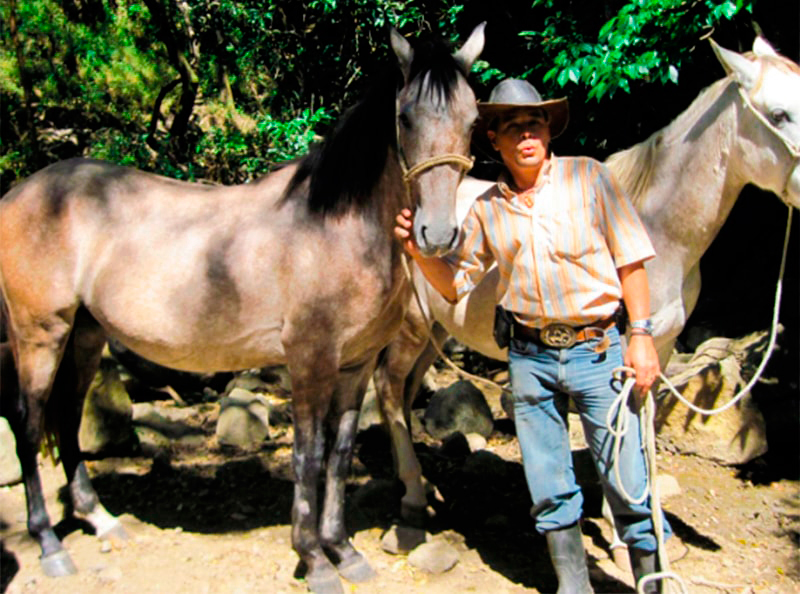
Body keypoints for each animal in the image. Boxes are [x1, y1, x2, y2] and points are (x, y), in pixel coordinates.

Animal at [0, 24, 488, 592]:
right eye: (405, 117)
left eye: (472, 119)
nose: (438, 234)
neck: (336, 228)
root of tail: (21, 193)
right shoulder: (309, 358)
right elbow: (308, 455)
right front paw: (314, 559)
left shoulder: (356, 364)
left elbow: (341, 455)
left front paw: (343, 551)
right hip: (40, 333)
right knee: (28, 423)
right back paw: (50, 545)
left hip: (84, 334)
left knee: (67, 416)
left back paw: (100, 519)